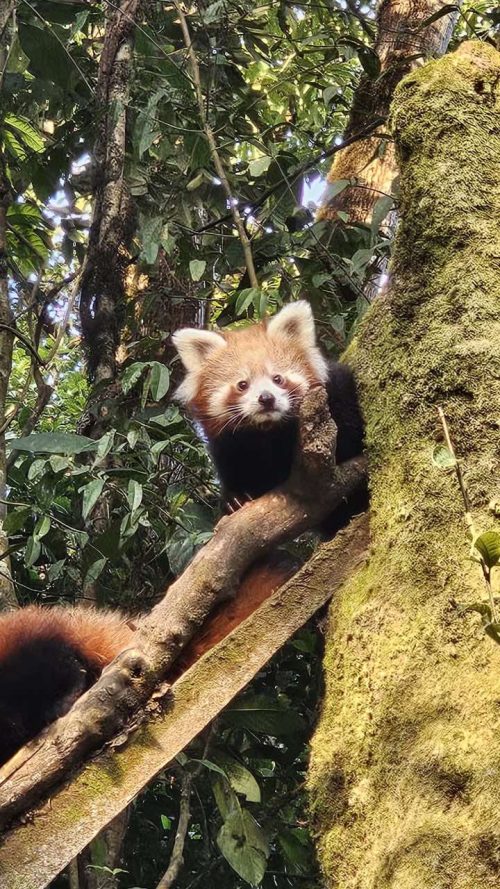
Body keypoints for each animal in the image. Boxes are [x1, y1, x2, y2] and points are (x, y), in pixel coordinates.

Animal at [171, 300, 364, 516]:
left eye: (277, 378)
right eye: (243, 384)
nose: (266, 398)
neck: (269, 431)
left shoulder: (338, 395)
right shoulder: (228, 442)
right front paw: (234, 497)